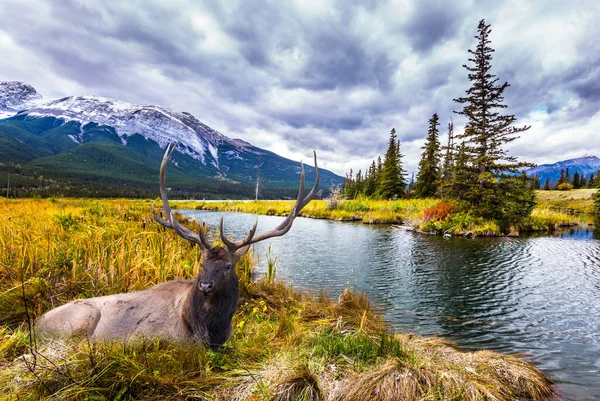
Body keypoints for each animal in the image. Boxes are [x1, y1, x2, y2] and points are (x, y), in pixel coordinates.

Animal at [37, 144, 318, 346]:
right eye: (201, 263)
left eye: (228, 266)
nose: (205, 285)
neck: (207, 330)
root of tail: (34, 324)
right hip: (81, 319)